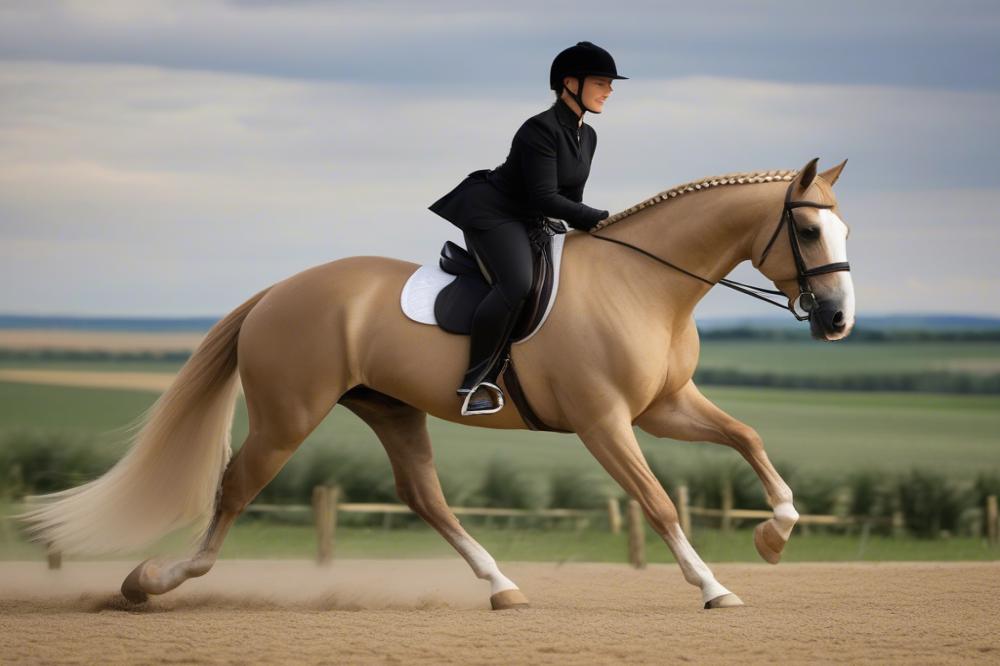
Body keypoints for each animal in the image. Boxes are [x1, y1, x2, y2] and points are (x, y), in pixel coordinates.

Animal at [19, 154, 856, 608]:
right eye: (806, 229)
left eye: (843, 229)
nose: (839, 320)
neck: (645, 285)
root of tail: (279, 290)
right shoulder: (606, 423)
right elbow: (656, 502)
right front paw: (714, 586)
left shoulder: (664, 408)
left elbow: (748, 438)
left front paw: (775, 535)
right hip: (289, 415)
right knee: (235, 487)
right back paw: (151, 582)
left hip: (389, 408)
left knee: (423, 496)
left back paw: (501, 586)